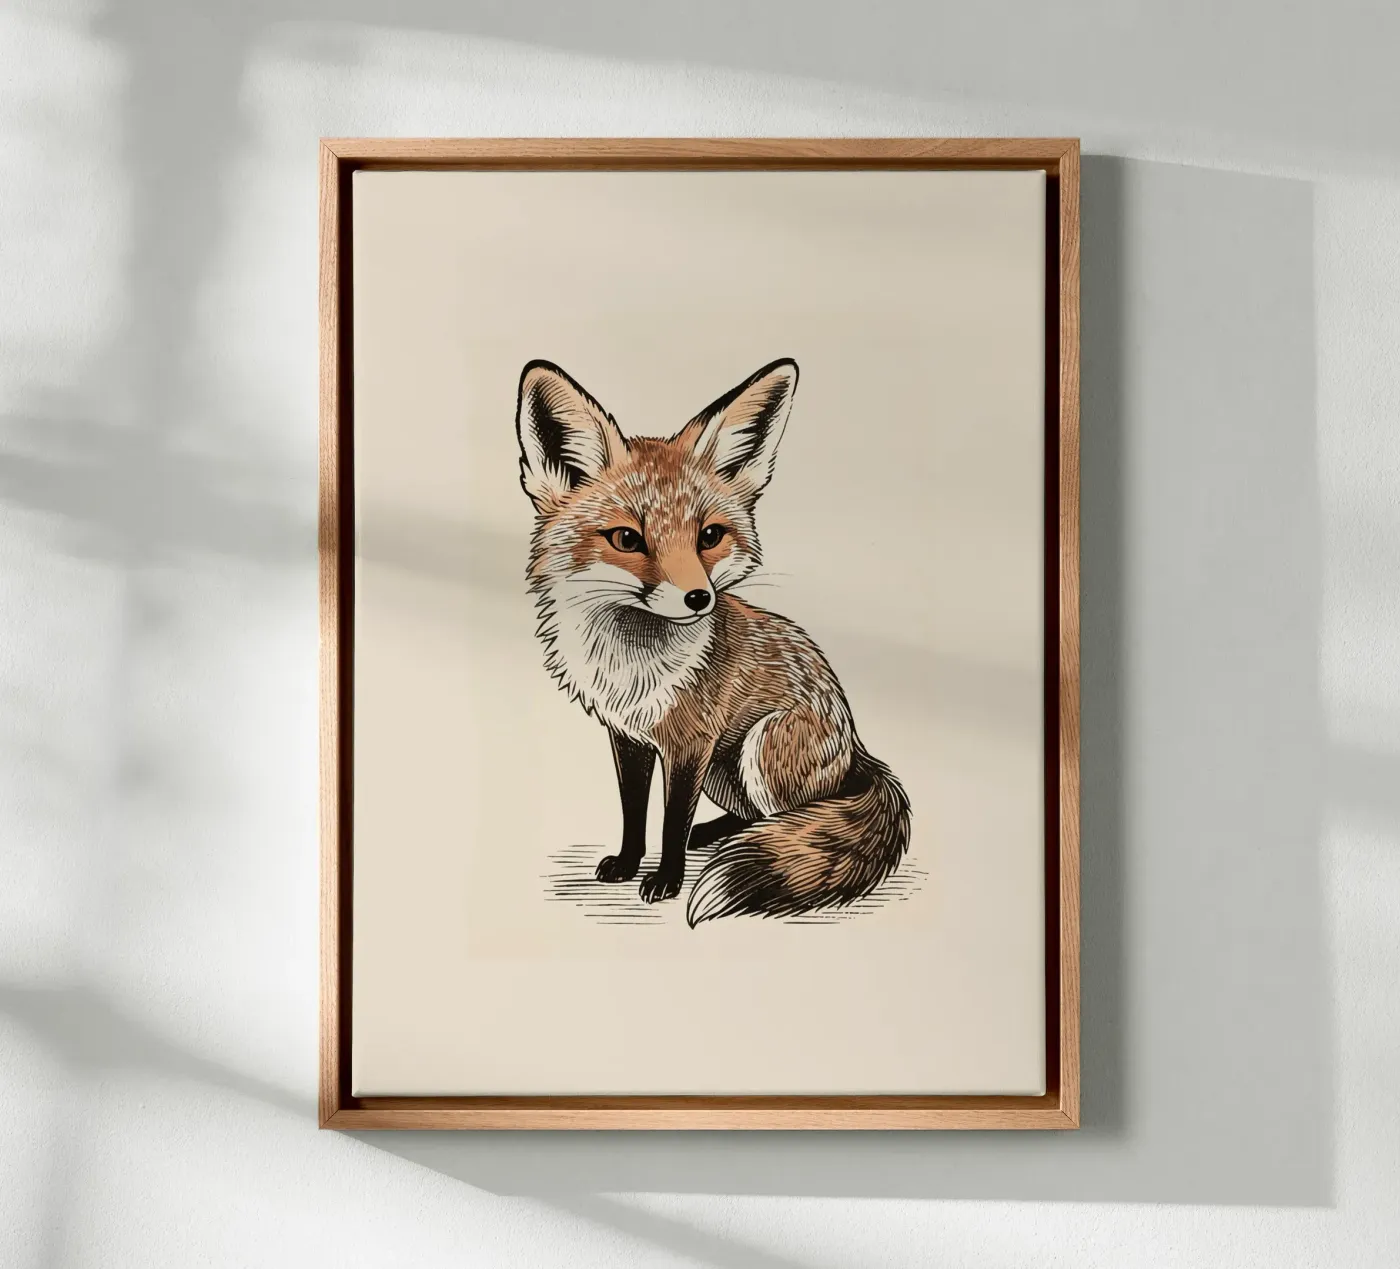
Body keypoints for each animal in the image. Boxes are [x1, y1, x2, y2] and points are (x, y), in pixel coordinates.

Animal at [515, 356, 911, 926]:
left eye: (709, 536)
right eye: (627, 539)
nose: (699, 598)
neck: (631, 665)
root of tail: (857, 747)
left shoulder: (691, 742)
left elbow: (671, 820)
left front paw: (666, 880)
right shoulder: (629, 737)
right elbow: (634, 811)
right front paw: (628, 864)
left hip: (759, 746)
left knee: (796, 819)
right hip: (728, 772)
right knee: (757, 816)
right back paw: (719, 835)